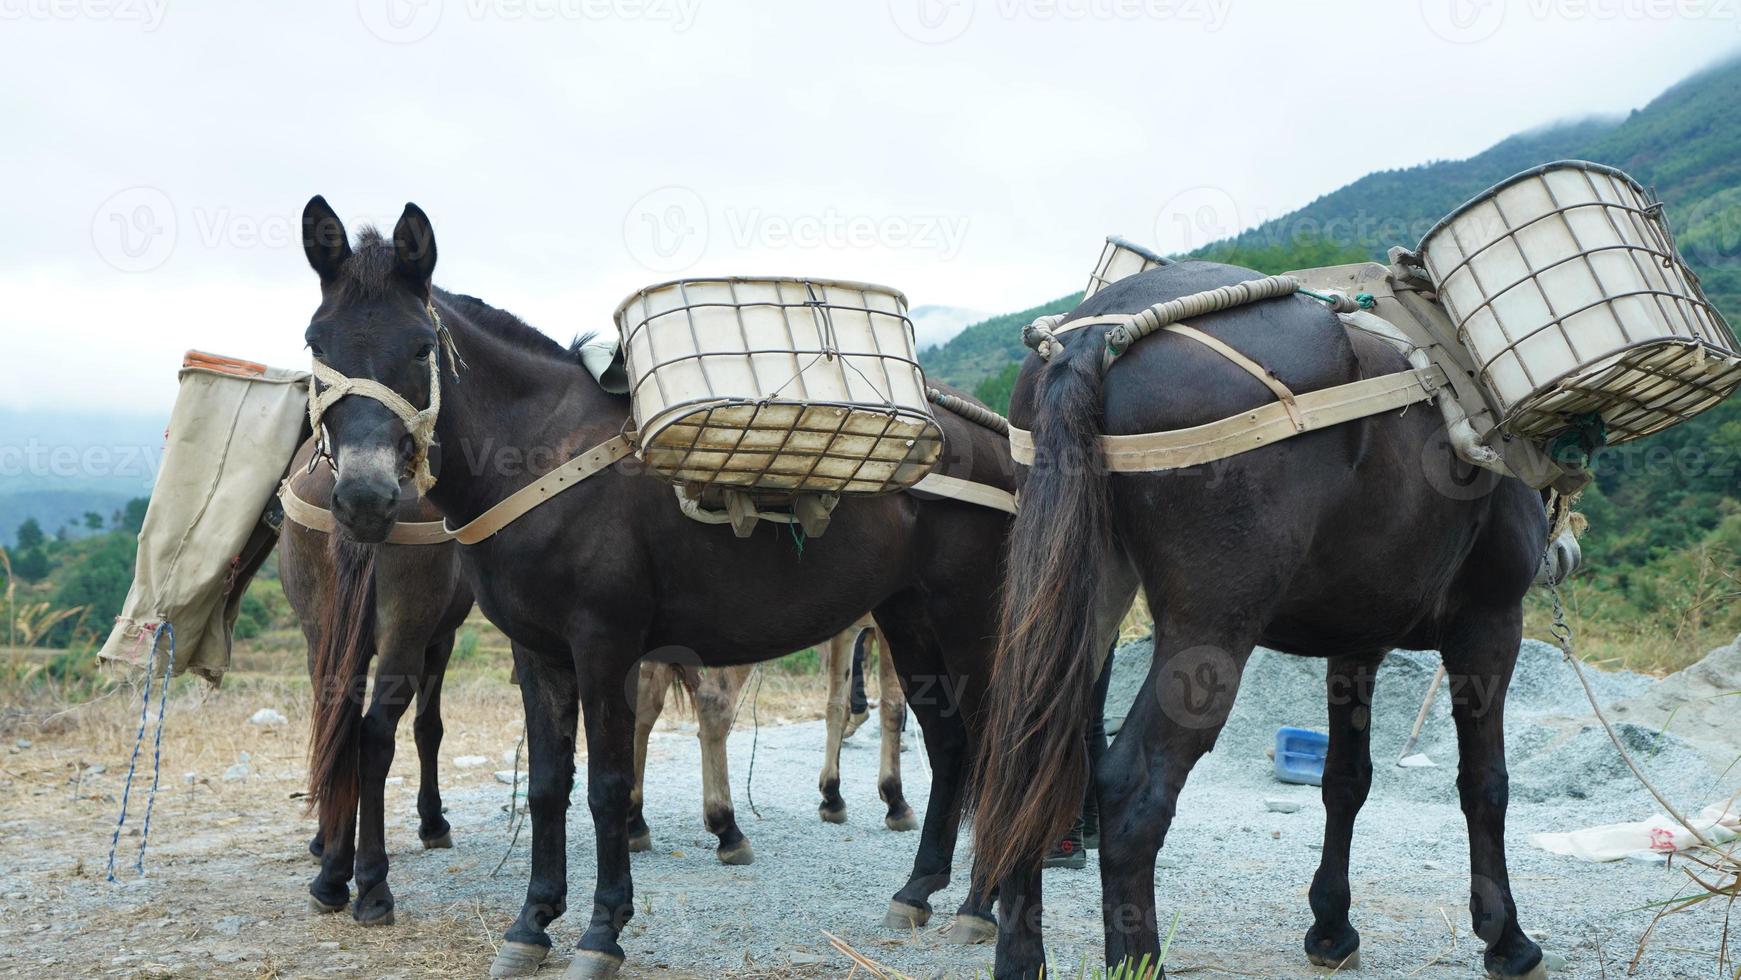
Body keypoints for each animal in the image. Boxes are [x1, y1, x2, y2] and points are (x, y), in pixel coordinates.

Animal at [294, 195, 1016, 974]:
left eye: (422, 346)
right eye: (315, 343)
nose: (365, 498)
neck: (540, 453)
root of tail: (997, 438)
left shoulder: (604, 645)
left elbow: (608, 788)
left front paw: (601, 930)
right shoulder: (538, 651)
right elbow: (548, 786)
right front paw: (531, 923)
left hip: (966, 618)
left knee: (995, 740)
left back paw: (980, 905)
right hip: (908, 619)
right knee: (949, 741)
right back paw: (919, 889)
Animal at [981, 261, 1552, 980]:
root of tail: (1095, 338)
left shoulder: (1356, 644)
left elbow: (1345, 780)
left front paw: (1331, 926)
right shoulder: (1490, 624)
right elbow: (1485, 785)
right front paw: (1506, 937)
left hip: (1075, 601)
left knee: (1025, 756)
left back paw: (1018, 958)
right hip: (1211, 632)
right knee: (1131, 786)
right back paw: (1138, 960)